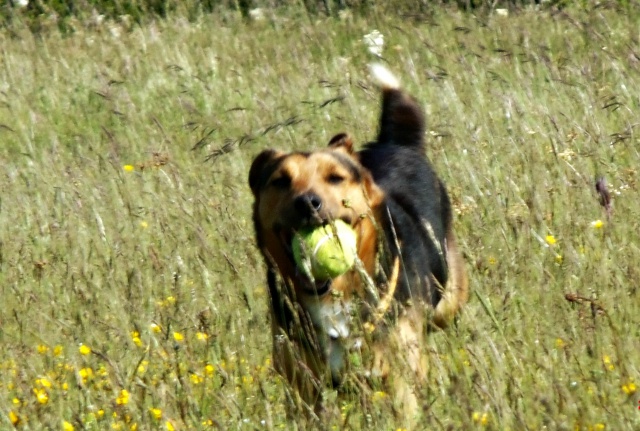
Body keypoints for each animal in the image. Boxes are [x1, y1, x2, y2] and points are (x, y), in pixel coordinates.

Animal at [248, 65, 468, 422]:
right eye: (280, 181)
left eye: (335, 178)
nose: (307, 203)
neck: (332, 297)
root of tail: (395, 143)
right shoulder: (302, 387)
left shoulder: (399, 383)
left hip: (449, 297)